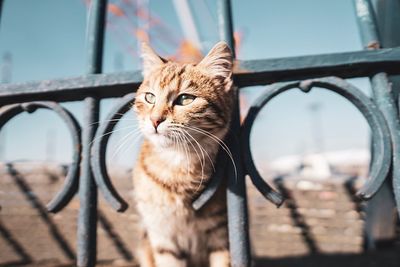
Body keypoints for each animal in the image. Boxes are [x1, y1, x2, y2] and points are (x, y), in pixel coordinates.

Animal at [133, 42, 234, 267]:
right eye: (150, 97)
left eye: (185, 99)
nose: (155, 120)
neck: (177, 163)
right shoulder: (162, 237)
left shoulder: (222, 235)